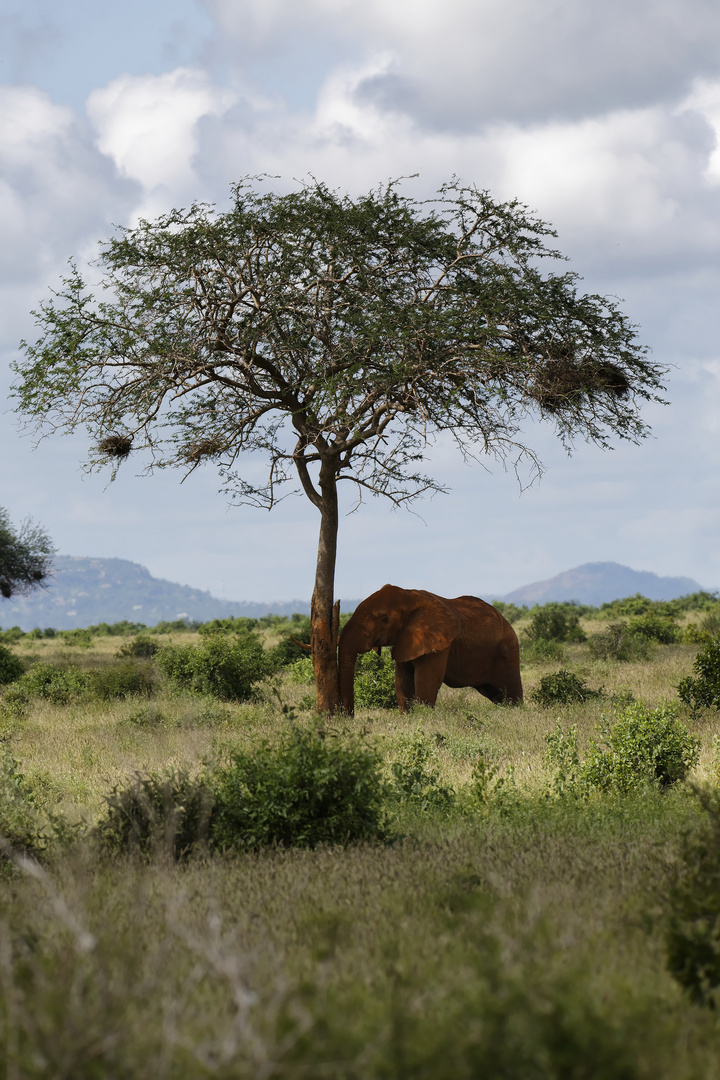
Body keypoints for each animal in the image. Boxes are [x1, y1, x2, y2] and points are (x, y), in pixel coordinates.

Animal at [338, 583, 524, 717]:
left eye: (384, 619)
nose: (347, 717)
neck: (409, 596)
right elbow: (402, 680)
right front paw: (407, 717)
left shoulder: (439, 644)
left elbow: (426, 679)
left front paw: (423, 716)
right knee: (496, 694)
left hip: (508, 651)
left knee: (511, 692)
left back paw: (516, 711)